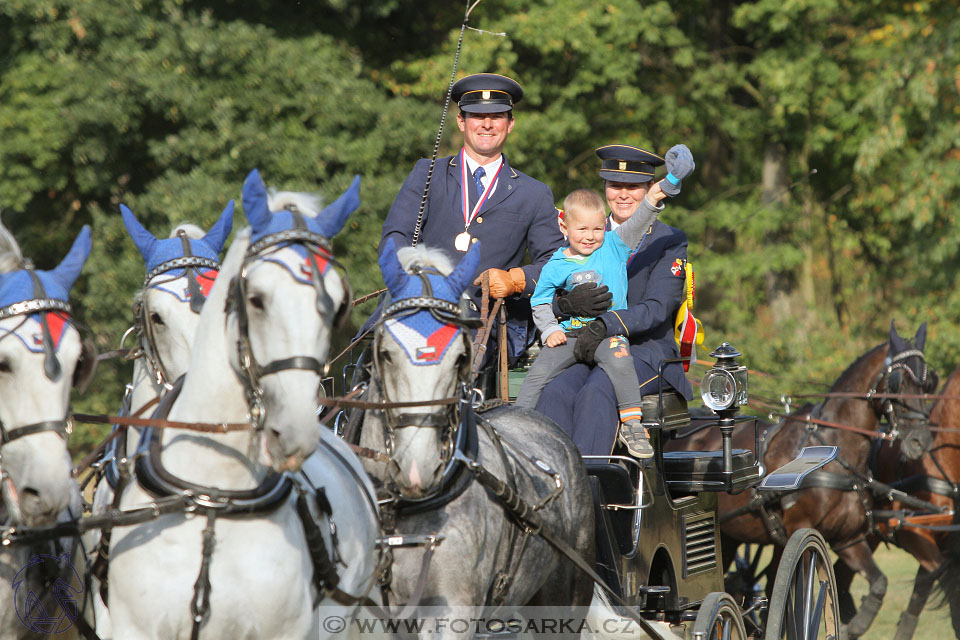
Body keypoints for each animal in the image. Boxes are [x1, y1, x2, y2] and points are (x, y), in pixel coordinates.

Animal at [672, 322, 932, 636]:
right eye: (897, 381)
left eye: (928, 383)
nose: (920, 440)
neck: (834, 453)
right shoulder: (797, 531)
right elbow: (789, 598)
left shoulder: (848, 540)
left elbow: (878, 583)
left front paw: (852, 625)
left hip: (729, 536)